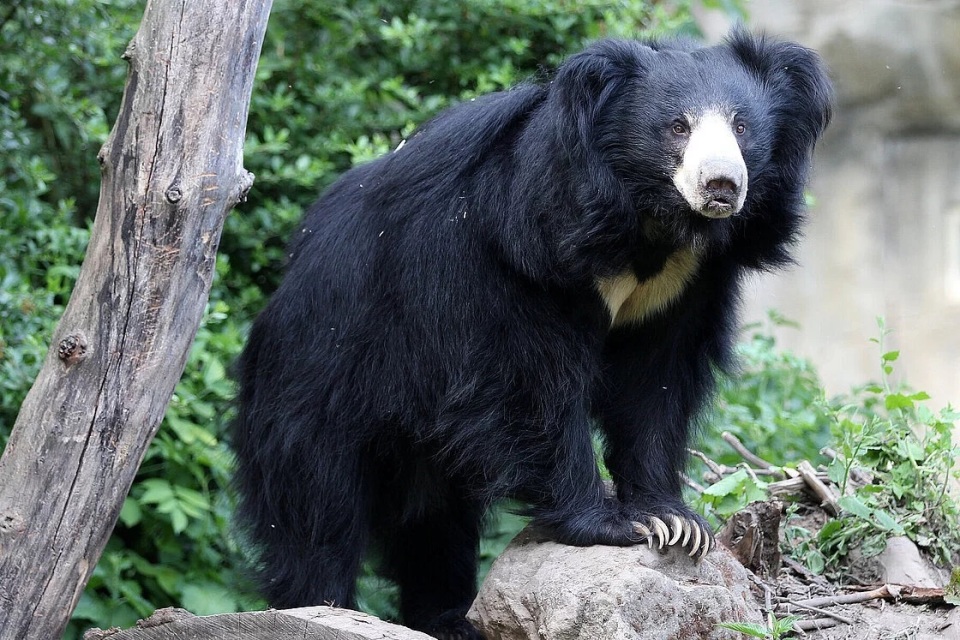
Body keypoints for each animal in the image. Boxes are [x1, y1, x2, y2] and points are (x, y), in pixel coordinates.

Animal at [231, 30, 831, 639]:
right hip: (320, 371)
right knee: (316, 502)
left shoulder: (685, 286)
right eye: (676, 127)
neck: (647, 223)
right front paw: (611, 524)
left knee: (434, 517)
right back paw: (322, 604)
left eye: (742, 126)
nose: (722, 185)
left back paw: (450, 618)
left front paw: (673, 521)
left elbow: (653, 387)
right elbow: (529, 386)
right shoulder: (515, 257)